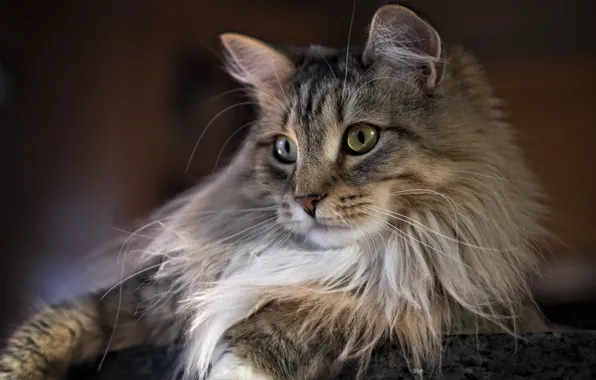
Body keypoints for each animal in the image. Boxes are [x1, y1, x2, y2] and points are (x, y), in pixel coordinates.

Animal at [0, 5, 548, 380]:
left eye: (360, 138)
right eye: (285, 149)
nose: (306, 202)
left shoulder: (447, 308)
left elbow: (309, 312)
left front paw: (235, 364)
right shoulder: (144, 300)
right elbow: (49, 328)